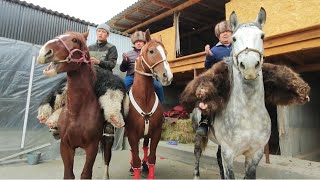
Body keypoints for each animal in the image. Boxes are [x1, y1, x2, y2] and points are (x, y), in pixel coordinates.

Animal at [37, 31, 116, 179]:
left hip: (107, 139)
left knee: (107, 158)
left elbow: (85, 174)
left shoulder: (92, 148)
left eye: (75, 40)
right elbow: (69, 174)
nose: (44, 52)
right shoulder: (66, 146)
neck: (76, 112)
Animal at [126, 29, 174, 179]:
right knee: (133, 151)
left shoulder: (156, 132)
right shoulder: (132, 133)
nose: (167, 76)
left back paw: (145, 166)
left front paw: (148, 168)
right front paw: (135, 167)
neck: (145, 99)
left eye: (166, 52)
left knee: (145, 147)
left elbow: (152, 157)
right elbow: (136, 158)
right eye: (151, 51)